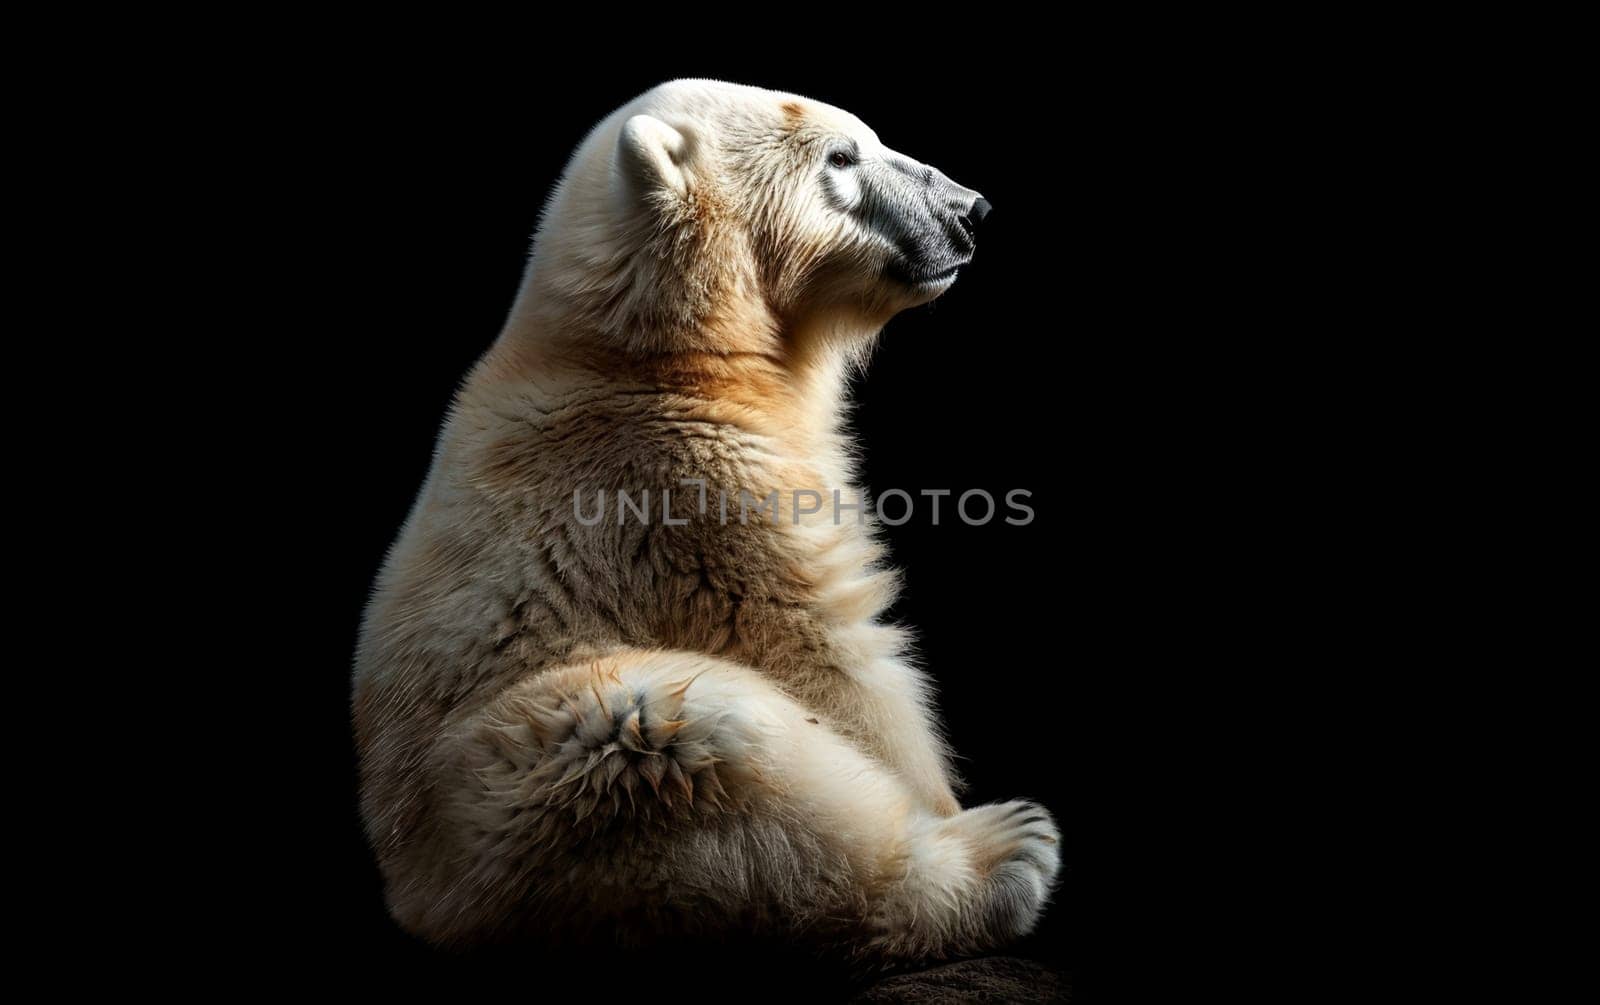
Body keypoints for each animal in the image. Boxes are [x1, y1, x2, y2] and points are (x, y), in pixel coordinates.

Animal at [355, 78, 1056, 960]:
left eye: (866, 138)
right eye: (841, 156)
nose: (972, 209)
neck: (650, 352)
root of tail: (416, 899)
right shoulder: (684, 490)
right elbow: (829, 659)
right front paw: (946, 801)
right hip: (515, 785)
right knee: (693, 738)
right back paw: (1005, 852)